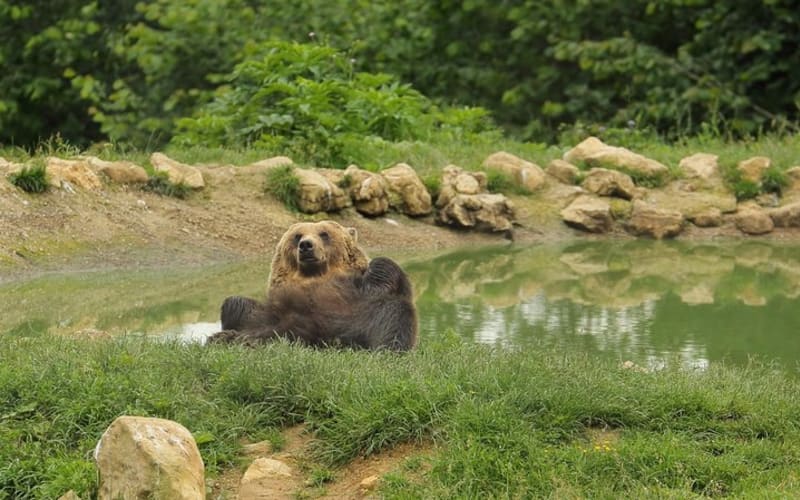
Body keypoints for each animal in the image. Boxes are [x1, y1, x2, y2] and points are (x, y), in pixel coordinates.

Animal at [207, 221, 417, 351]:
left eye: (324, 234)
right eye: (297, 235)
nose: (306, 245)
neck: (315, 276)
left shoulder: (355, 297)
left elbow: (384, 274)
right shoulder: (277, 308)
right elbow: (239, 306)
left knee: (394, 313)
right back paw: (227, 338)